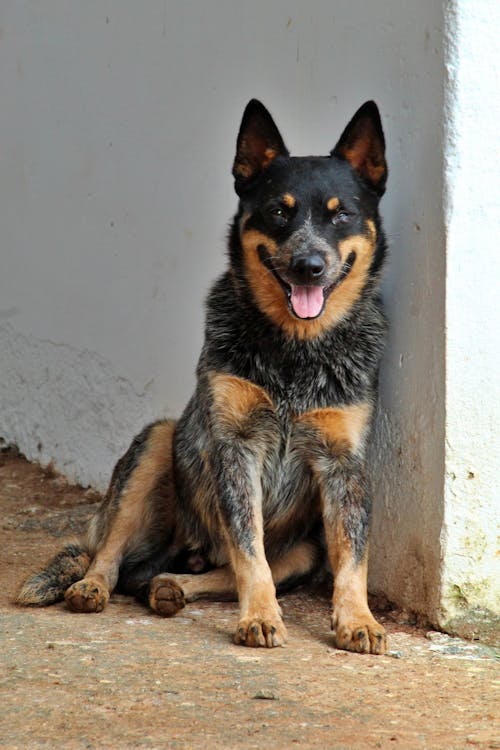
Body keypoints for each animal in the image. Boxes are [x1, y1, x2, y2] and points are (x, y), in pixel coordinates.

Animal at [17, 98, 388, 652]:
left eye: (340, 213)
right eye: (279, 211)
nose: (309, 265)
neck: (295, 352)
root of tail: (187, 549)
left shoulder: (343, 464)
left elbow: (351, 557)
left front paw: (358, 618)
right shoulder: (235, 448)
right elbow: (249, 551)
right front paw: (259, 616)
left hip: (303, 551)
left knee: (194, 573)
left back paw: (171, 586)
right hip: (154, 446)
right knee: (113, 556)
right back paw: (91, 586)